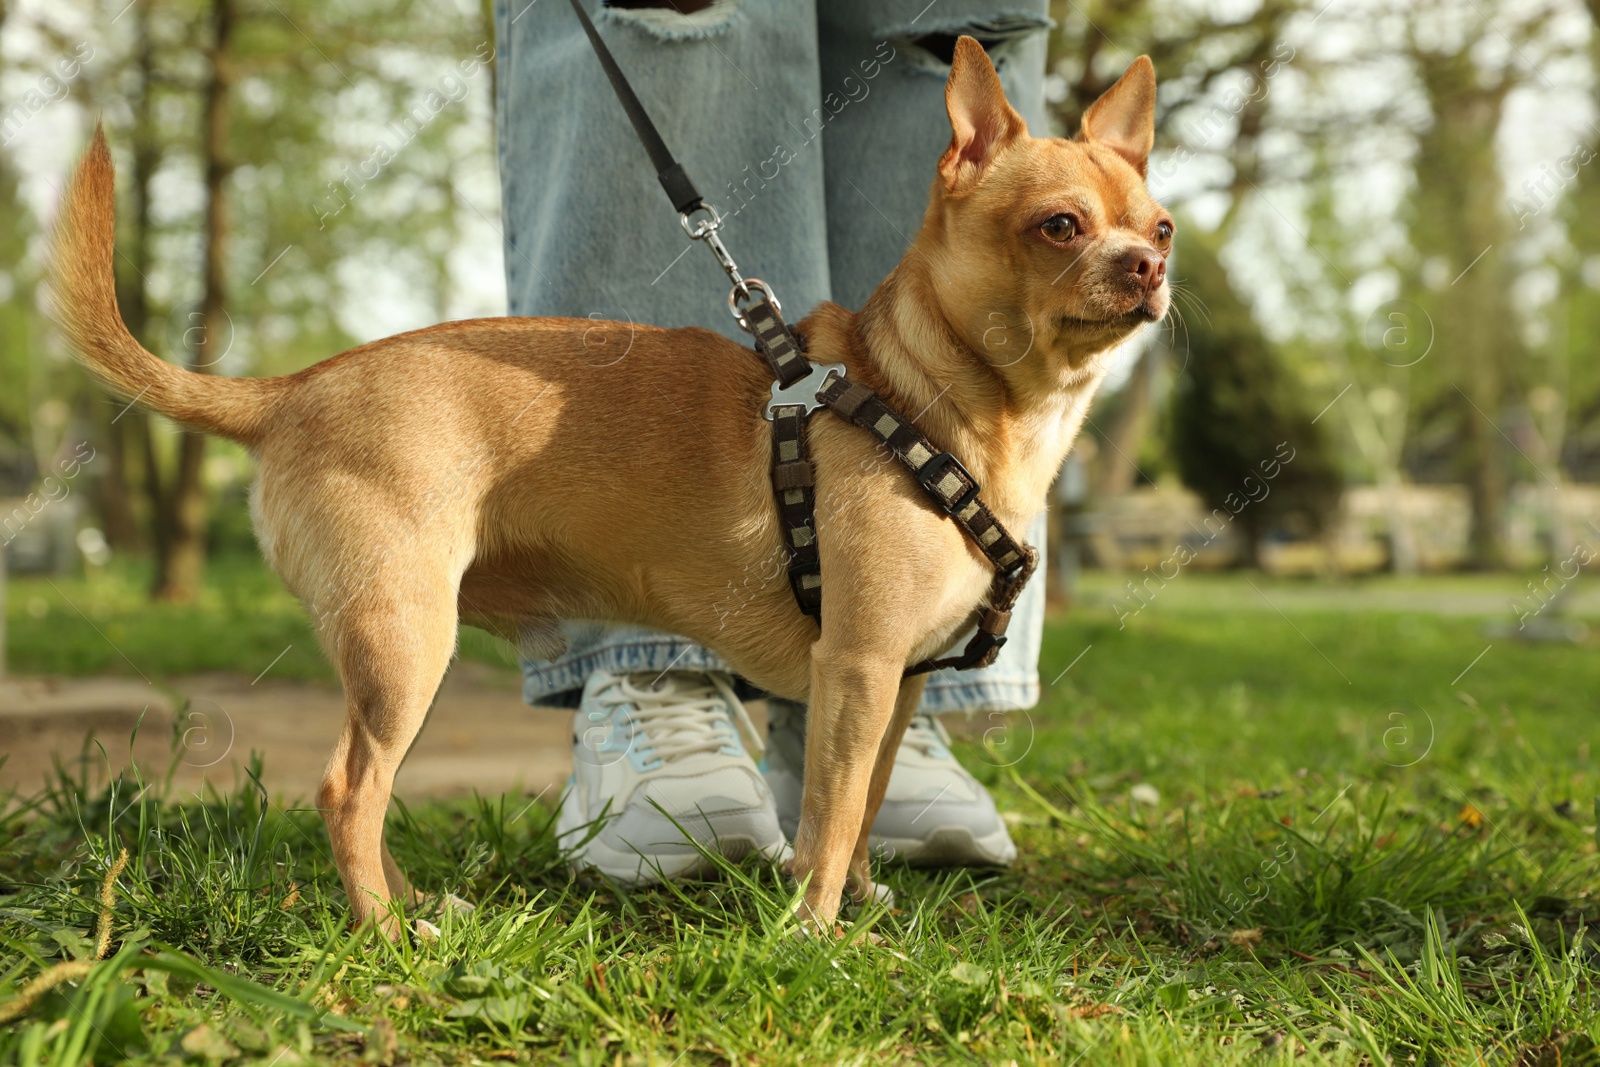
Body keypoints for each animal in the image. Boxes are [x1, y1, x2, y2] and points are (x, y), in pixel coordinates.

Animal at [53, 39, 1177, 934]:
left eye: (1161, 227)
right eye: (1059, 226)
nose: (1148, 268)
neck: (920, 399)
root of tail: (292, 389)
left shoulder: (896, 686)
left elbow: (862, 805)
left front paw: (859, 901)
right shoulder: (855, 670)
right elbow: (826, 810)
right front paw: (814, 930)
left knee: (365, 799)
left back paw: (413, 904)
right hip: (403, 640)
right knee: (344, 791)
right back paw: (383, 934)